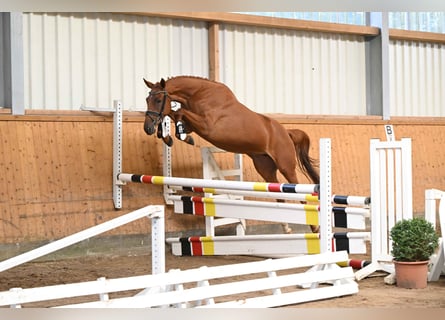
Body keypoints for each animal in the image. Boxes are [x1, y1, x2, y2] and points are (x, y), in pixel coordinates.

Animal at [143, 76, 320, 234]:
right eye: (147, 99)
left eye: (158, 100)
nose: (147, 128)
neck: (200, 95)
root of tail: (286, 132)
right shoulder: (194, 124)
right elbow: (174, 114)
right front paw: (170, 136)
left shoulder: (208, 126)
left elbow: (179, 111)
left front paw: (180, 135)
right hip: (265, 168)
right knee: (279, 194)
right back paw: (286, 227)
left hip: (286, 166)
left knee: (298, 190)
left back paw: (314, 228)